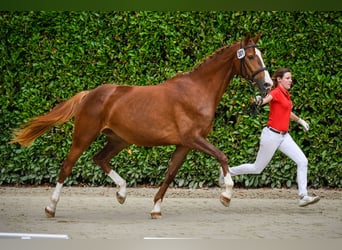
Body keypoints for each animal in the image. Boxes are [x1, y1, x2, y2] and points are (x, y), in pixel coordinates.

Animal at [11, 32, 272, 218]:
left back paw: (122, 193)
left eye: (261, 55)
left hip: (118, 139)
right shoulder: (193, 139)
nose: (268, 84)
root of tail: (89, 95)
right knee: (67, 166)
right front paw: (226, 194)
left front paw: (156, 208)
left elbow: (170, 173)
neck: (197, 90)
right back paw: (51, 208)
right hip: (84, 136)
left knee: (100, 159)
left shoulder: (184, 144)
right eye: (251, 57)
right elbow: (222, 156)